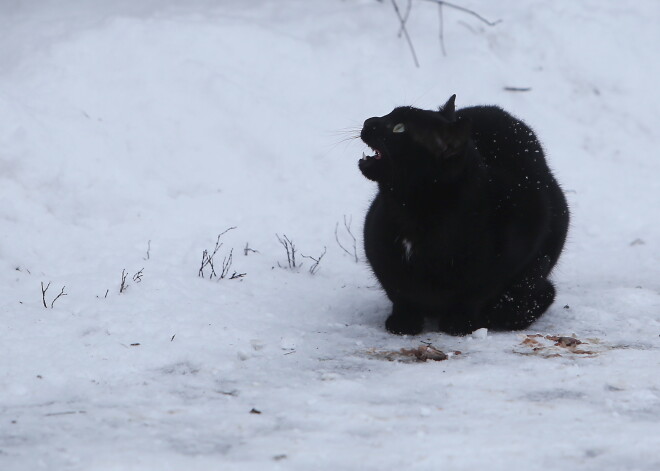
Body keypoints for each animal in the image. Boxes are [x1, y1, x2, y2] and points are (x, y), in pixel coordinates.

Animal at [358, 95, 568, 336]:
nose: (368, 121)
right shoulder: (378, 251)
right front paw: (404, 322)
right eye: (390, 115)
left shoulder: (521, 240)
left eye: (399, 128)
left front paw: (458, 324)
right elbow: (398, 291)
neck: (417, 215)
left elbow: (475, 295)